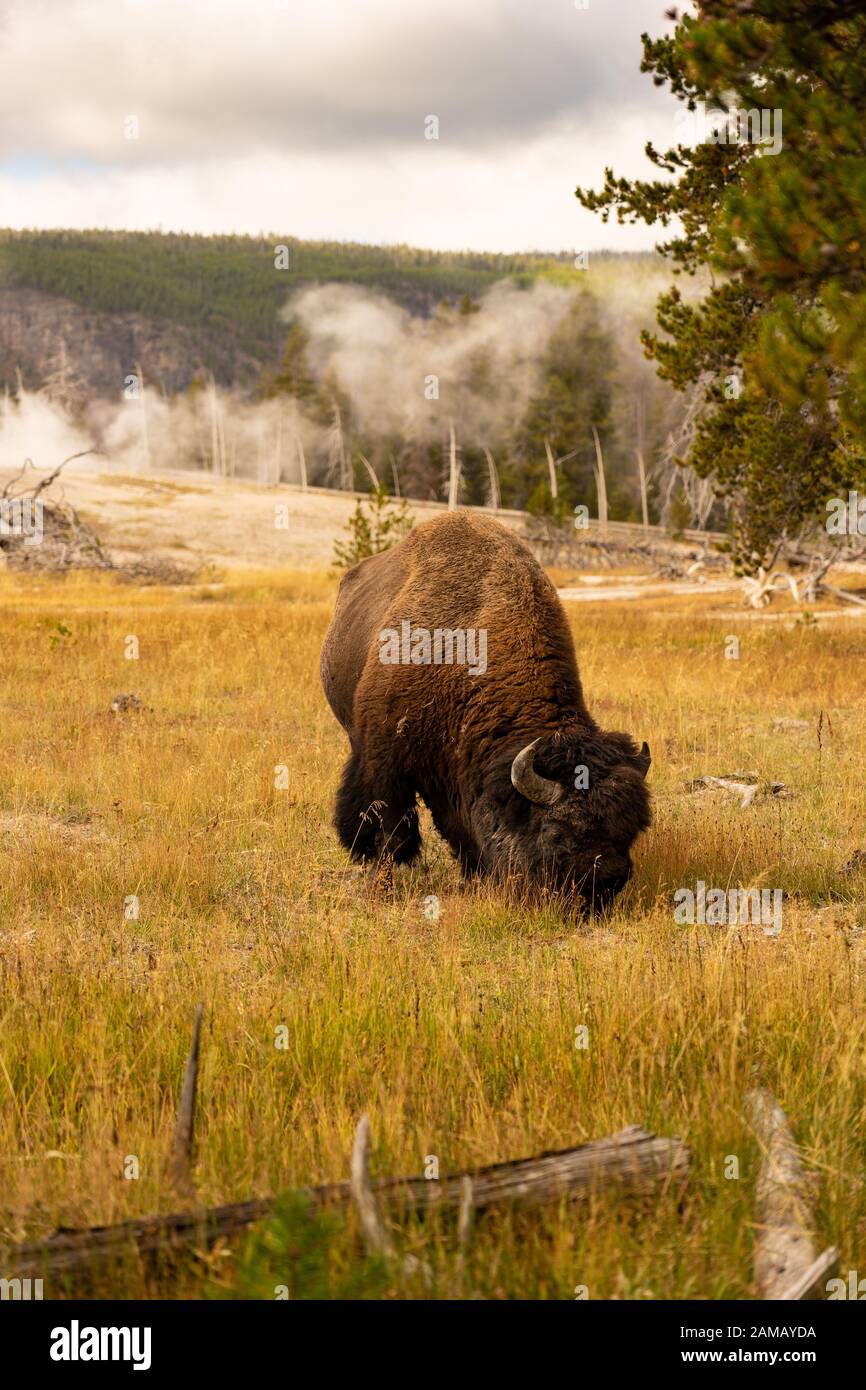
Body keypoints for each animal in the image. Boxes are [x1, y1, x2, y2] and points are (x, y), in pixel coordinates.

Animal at [322, 511, 653, 911]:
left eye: (631, 832)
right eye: (556, 834)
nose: (605, 886)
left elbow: (460, 828)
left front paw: (473, 879)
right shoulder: (383, 759)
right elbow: (386, 829)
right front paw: (379, 889)